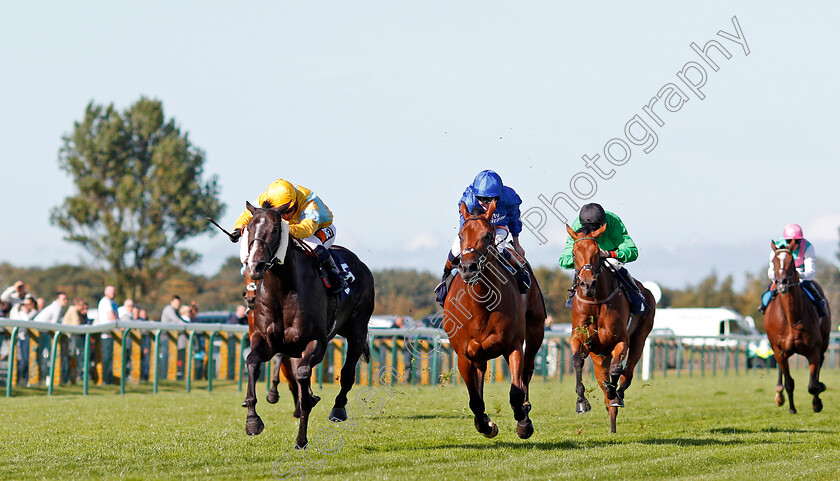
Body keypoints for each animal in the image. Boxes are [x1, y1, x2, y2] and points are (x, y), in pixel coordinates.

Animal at [243, 200, 374, 446]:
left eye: (276, 229)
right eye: (249, 228)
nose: (255, 266)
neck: (283, 290)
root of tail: (361, 264)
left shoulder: (316, 342)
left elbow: (304, 375)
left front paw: (301, 438)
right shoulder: (266, 341)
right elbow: (253, 362)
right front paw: (252, 420)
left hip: (357, 330)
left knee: (347, 372)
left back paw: (338, 408)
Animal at [442, 201, 548, 436]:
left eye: (488, 235)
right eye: (461, 235)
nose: (468, 267)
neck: (481, 306)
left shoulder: (514, 345)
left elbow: (516, 391)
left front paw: (523, 422)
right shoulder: (464, 355)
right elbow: (475, 400)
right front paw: (485, 424)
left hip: (536, 330)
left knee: (527, 371)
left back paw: (525, 408)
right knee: (481, 377)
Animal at [568, 223, 652, 434]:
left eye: (597, 252)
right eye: (573, 253)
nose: (587, 284)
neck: (596, 301)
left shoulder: (621, 340)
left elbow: (616, 370)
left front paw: (614, 393)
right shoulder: (580, 339)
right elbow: (577, 361)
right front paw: (581, 402)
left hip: (640, 338)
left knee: (626, 374)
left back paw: (617, 395)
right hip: (599, 356)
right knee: (605, 387)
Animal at [764, 240, 832, 412]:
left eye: (791, 262)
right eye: (773, 261)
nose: (781, 283)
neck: (792, 318)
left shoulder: (813, 350)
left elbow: (812, 385)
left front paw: (817, 402)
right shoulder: (780, 351)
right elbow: (789, 382)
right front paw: (792, 408)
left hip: (825, 340)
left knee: (821, 361)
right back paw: (779, 395)